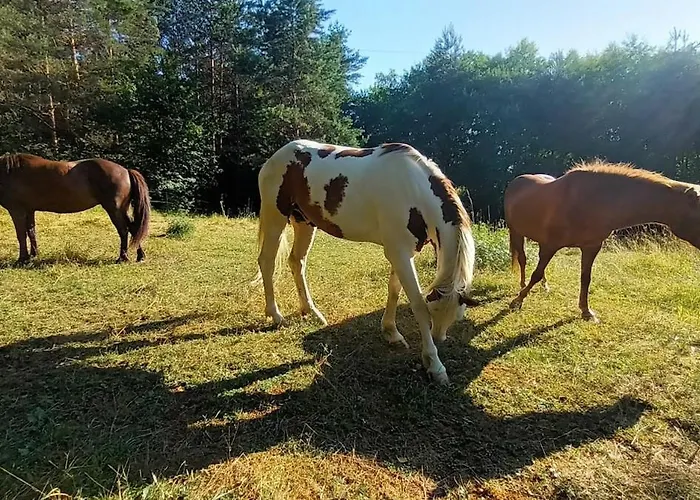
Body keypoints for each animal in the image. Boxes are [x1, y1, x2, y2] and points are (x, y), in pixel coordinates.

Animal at [0, 153, 151, 264]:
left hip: (115, 210)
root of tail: (126, 171)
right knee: (133, 228)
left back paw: (122, 258)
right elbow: (31, 232)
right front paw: (33, 255)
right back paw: (140, 256)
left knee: (124, 230)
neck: (9, 173)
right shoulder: (29, 210)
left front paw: (22, 259)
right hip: (122, 210)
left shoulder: (17, 211)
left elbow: (21, 234)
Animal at [251, 140, 476, 385]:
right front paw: (435, 365)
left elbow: (394, 290)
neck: (414, 191)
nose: (438, 338)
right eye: (433, 312)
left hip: (304, 222)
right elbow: (416, 304)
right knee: (267, 262)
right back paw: (276, 316)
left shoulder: (402, 252)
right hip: (275, 216)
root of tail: (277, 156)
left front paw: (391, 333)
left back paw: (311, 312)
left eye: (456, 317)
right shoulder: (399, 253)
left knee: (296, 262)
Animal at [505, 160, 700, 322]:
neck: (592, 201)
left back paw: (545, 286)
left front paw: (586, 312)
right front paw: (517, 301)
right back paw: (522, 286)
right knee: (522, 259)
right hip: (516, 232)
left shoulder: (591, 247)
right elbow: (535, 273)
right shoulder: (551, 245)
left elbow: (585, 278)